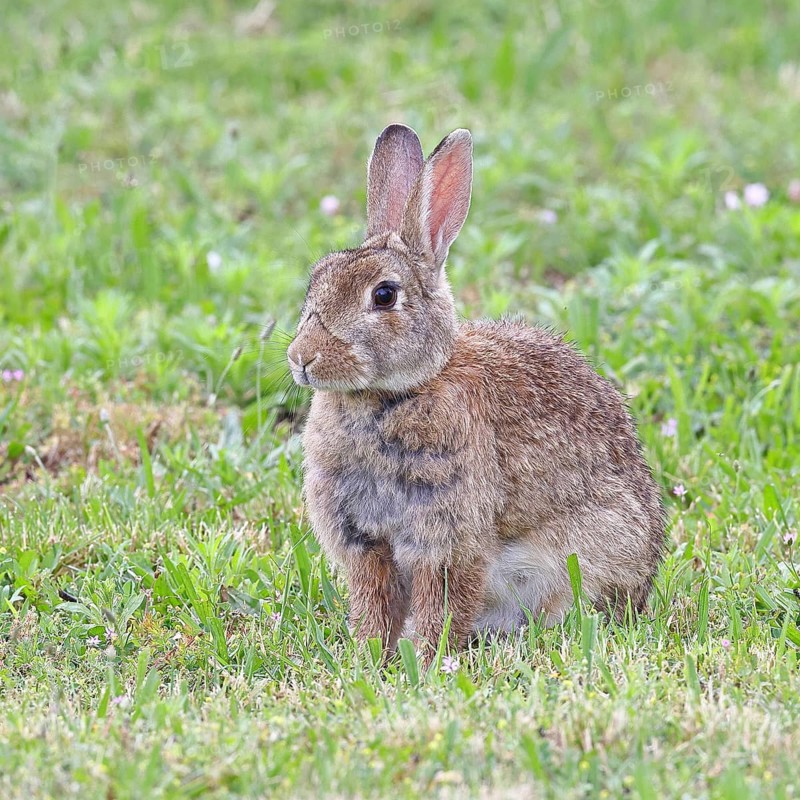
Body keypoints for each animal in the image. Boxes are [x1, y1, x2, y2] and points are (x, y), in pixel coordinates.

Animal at [287, 124, 666, 660]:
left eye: (384, 295)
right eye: (316, 281)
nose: (302, 358)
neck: (389, 397)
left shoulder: (449, 536)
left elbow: (443, 601)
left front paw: (424, 659)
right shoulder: (364, 543)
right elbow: (375, 603)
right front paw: (368, 656)